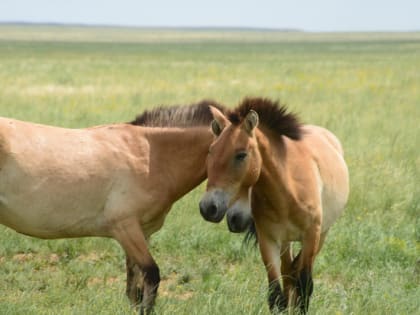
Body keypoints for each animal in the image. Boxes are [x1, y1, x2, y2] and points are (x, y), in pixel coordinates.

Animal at [0, 101, 225, 315]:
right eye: (236, 155)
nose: (212, 209)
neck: (150, 155)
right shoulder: (125, 228)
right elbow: (151, 277)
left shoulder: (143, 232)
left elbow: (135, 290)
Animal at [199, 98, 350, 314]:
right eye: (211, 151)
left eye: (241, 155)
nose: (208, 207)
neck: (289, 189)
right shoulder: (268, 240)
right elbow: (276, 295)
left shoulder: (311, 236)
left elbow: (305, 286)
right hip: (286, 242)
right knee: (288, 274)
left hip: (322, 235)